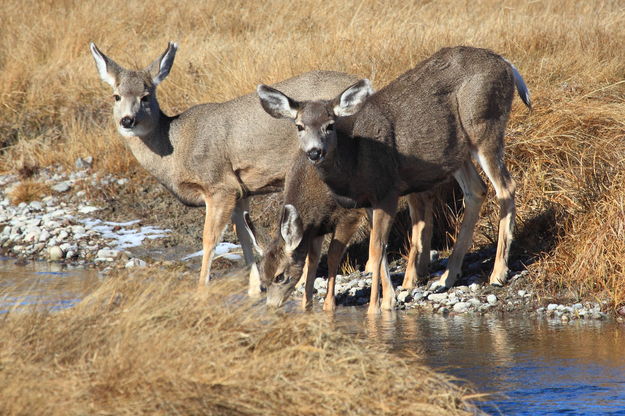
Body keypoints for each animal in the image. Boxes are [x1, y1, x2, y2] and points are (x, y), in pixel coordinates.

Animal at [90, 42, 358, 294]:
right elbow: (245, 236)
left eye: (145, 96)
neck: (176, 146)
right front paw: (254, 288)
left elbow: (209, 239)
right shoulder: (241, 191)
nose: (127, 120)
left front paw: (201, 289)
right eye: (116, 96)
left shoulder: (219, 185)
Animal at [258, 46, 532, 312]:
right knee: (476, 190)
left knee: (506, 187)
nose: (315, 152)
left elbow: (375, 248)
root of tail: (506, 64)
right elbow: (378, 249)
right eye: (299, 126)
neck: (354, 160)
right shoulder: (367, 202)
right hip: (456, 151)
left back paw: (498, 273)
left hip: (484, 125)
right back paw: (447, 277)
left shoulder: (385, 193)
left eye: (330, 125)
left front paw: (377, 308)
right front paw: (387, 299)